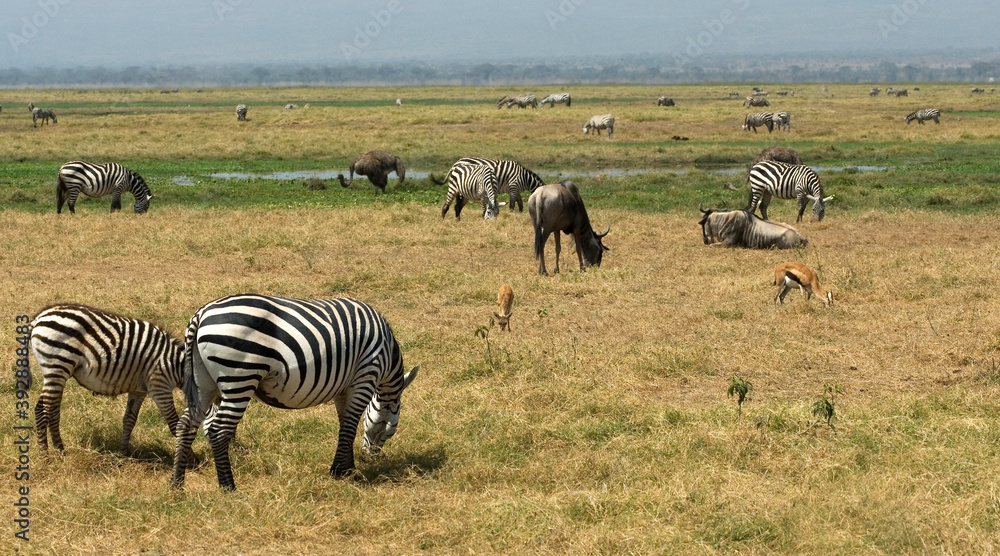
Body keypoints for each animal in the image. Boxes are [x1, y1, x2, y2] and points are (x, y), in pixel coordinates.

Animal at [30, 304, 185, 453]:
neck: (176, 364)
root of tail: (39, 317)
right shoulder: (159, 384)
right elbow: (174, 423)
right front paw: (187, 458)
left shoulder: (139, 390)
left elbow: (129, 420)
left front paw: (123, 453)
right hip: (57, 366)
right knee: (45, 410)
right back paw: (46, 454)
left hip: (55, 371)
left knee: (48, 410)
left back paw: (57, 450)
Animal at [169, 294, 419, 490]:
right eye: (388, 432)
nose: (370, 458)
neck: (387, 353)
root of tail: (201, 314)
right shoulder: (365, 375)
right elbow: (350, 424)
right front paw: (341, 471)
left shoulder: (344, 388)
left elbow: (346, 424)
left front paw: (347, 468)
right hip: (239, 376)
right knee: (219, 430)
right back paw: (228, 487)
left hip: (203, 382)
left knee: (186, 425)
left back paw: (177, 484)